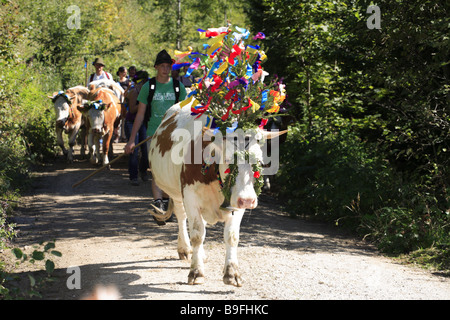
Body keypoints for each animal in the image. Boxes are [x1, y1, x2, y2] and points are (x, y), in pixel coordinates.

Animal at [149, 99, 286, 286]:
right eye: (228, 160)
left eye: (258, 162)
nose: (248, 200)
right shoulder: (190, 196)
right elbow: (197, 234)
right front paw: (196, 272)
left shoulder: (236, 200)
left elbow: (231, 236)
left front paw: (232, 273)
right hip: (176, 192)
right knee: (182, 216)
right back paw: (185, 249)